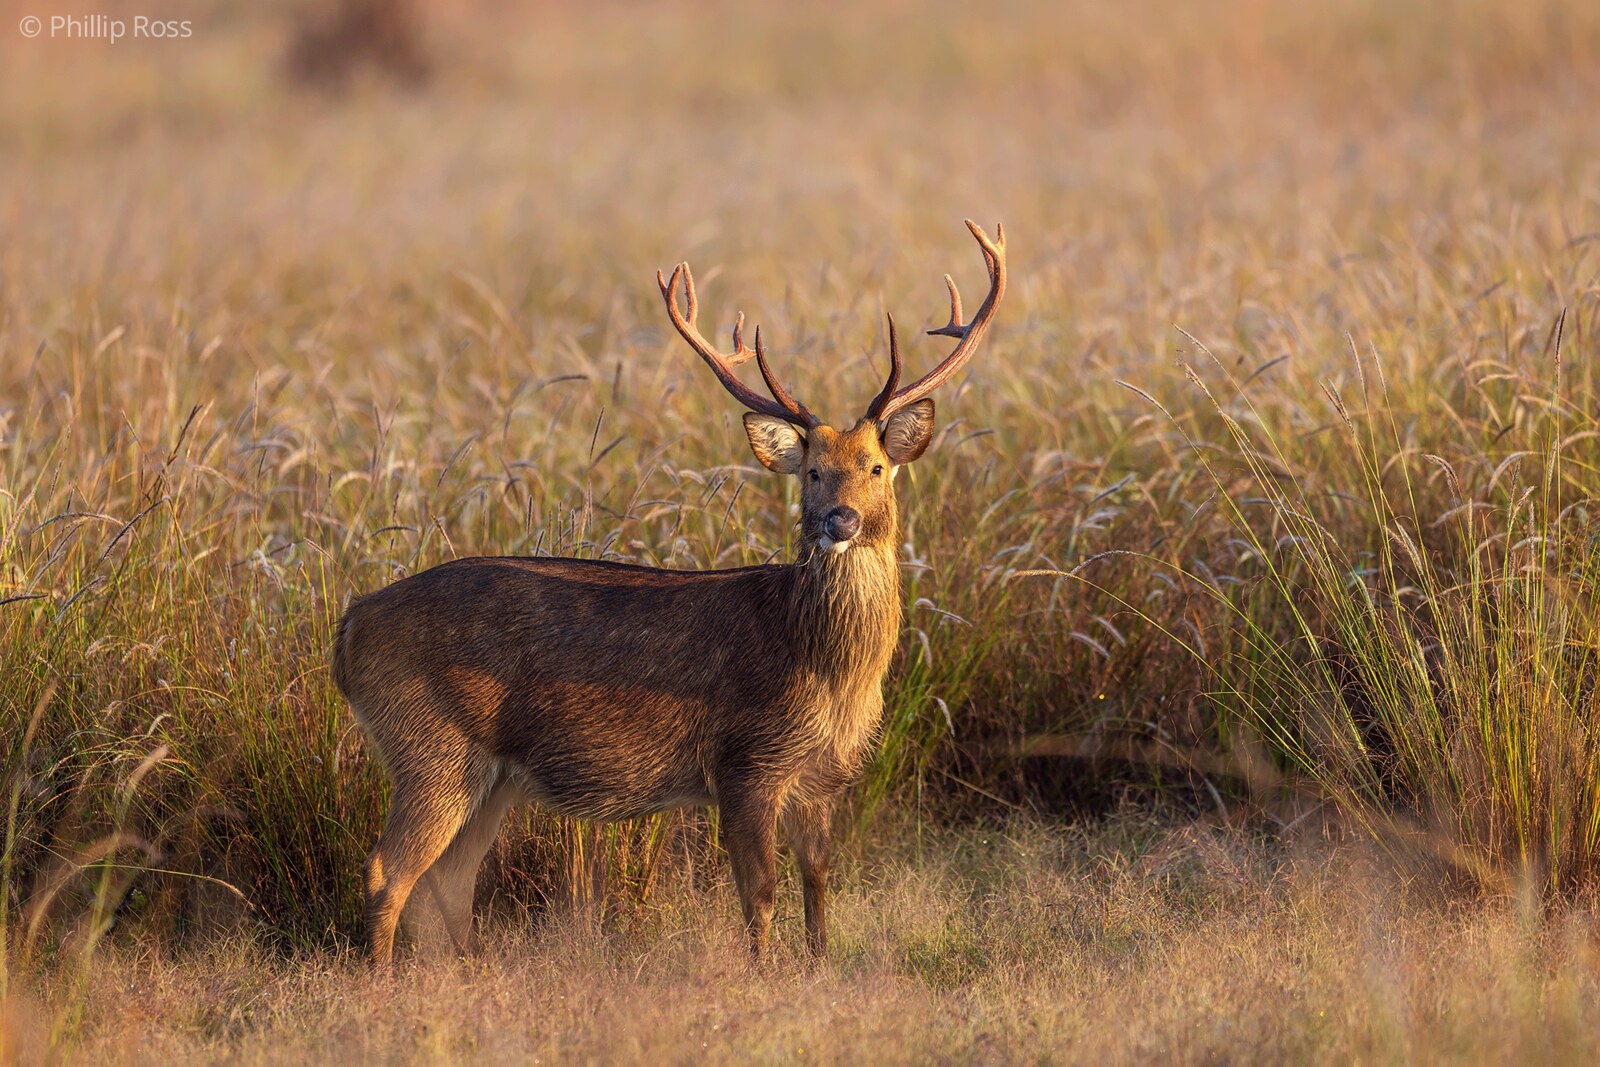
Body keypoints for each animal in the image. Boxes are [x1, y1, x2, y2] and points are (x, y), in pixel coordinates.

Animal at [331, 219, 1006, 967]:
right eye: (812, 472)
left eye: (878, 467)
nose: (842, 520)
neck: (824, 667)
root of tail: (349, 627)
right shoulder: (745, 759)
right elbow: (759, 895)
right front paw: (761, 975)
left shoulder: (824, 775)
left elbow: (819, 886)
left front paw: (819, 965)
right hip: (428, 741)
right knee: (388, 869)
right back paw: (384, 980)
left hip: (489, 773)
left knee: (450, 879)